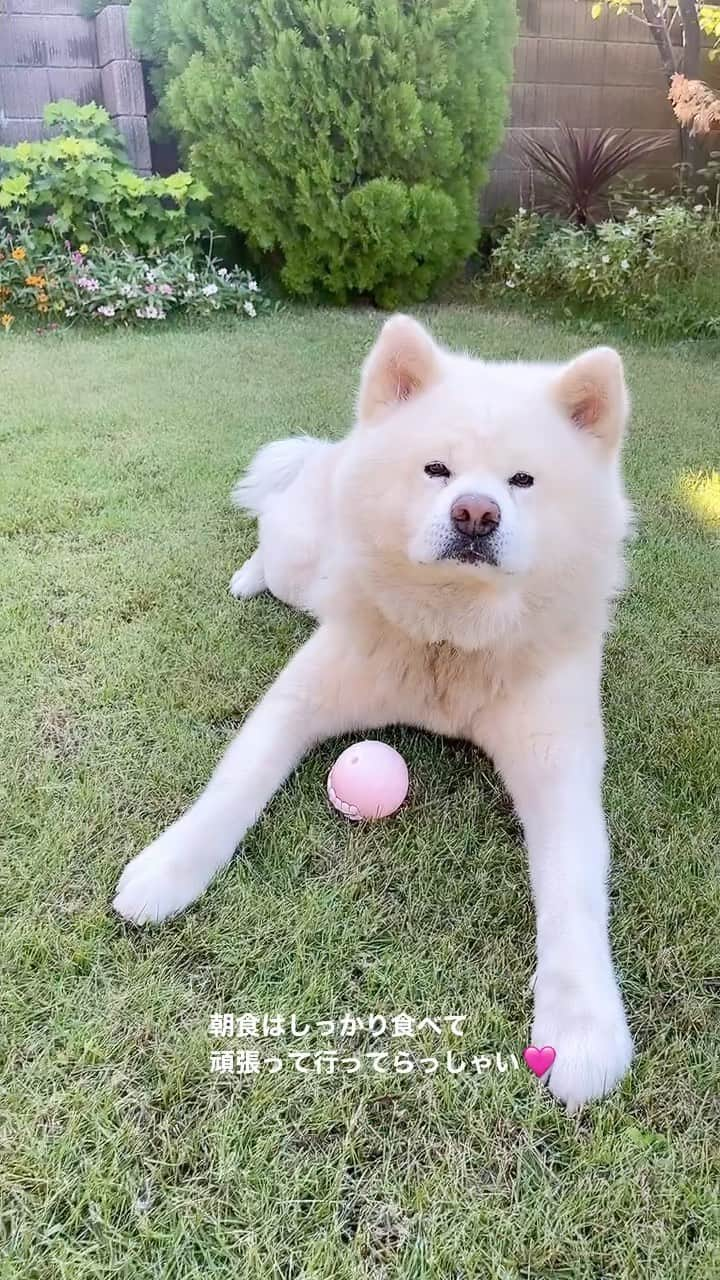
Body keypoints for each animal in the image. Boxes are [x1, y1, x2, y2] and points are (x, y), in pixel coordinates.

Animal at [113, 312, 632, 1111]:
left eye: (523, 481)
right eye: (436, 470)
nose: (475, 514)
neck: (452, 638)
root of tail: (334, 448)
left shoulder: (559, 763)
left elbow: (574, 891)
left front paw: (582, 1030)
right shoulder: (297, 701)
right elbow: (230, 790)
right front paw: (167, 871)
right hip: (298, 562)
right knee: (268, 537)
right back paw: (245, 576)